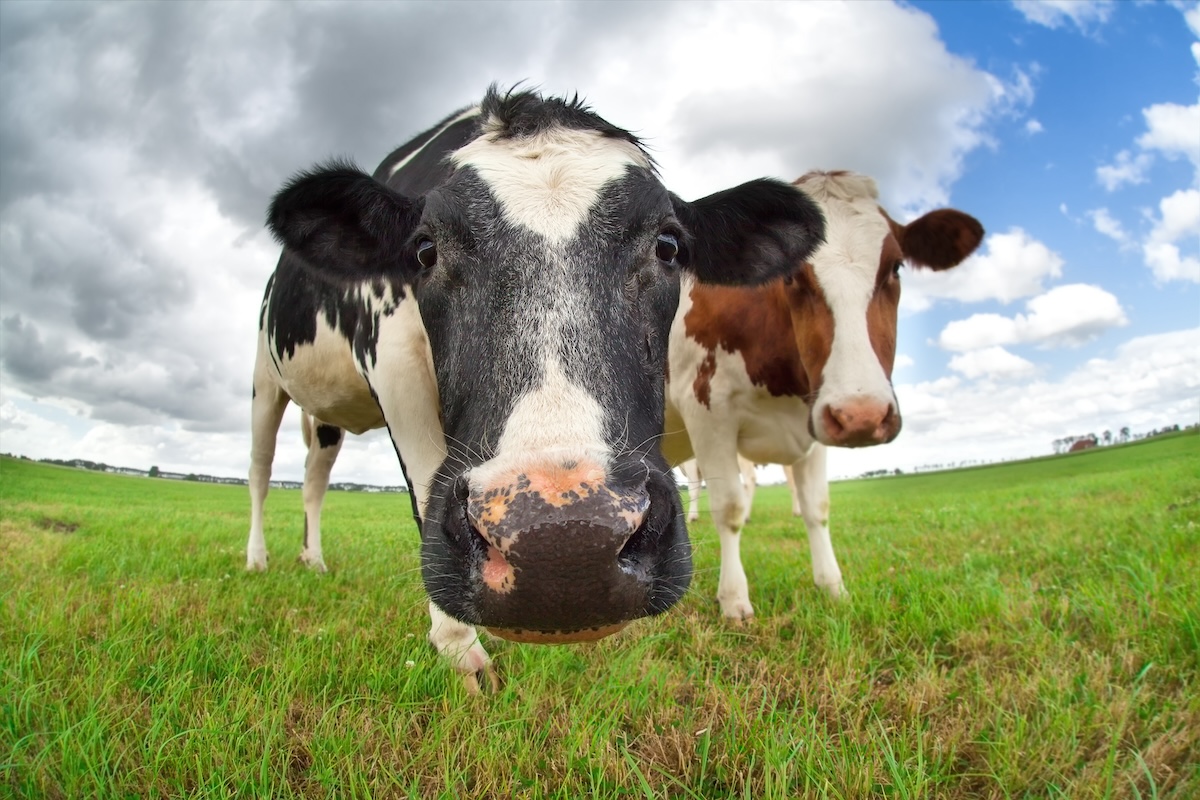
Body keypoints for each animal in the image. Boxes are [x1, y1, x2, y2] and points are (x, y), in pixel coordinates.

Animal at [243, 86, 825, 690]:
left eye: (669, 245)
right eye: (425, 250)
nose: (564, 542)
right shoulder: (391, 361)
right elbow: (424, 491)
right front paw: (460, 650)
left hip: (322, 420)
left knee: (312, 480)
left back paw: (312, 558)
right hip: (264, 380)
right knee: (261, 471)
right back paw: (258, 558)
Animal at [662, 170, 979, 618]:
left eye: (896, 267)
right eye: (793, 274)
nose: (863, 415)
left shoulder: (815, 420)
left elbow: (817, 507)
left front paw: (832, 586)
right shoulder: (707, 410)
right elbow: (729, 507)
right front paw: (735, 599)